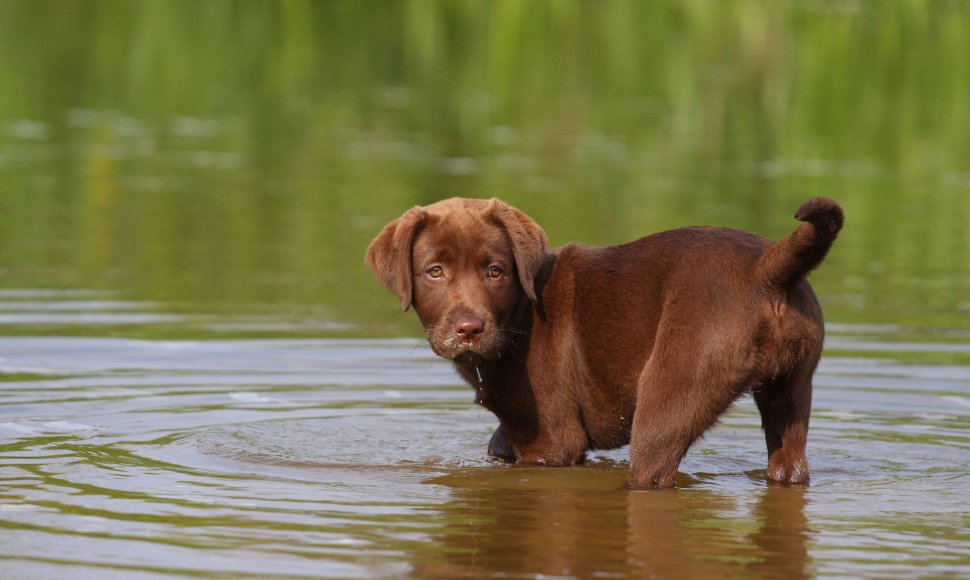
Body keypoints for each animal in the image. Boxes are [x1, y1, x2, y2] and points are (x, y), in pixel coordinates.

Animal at [364, 197, 840, 488]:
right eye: (435, 271)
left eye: (495, 271)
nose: (469, 328)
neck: (518, 315)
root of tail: (766, 266)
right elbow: (499, 442)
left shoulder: (552, 442)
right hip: (791, 387)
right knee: (789, 463)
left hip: (671, 393)